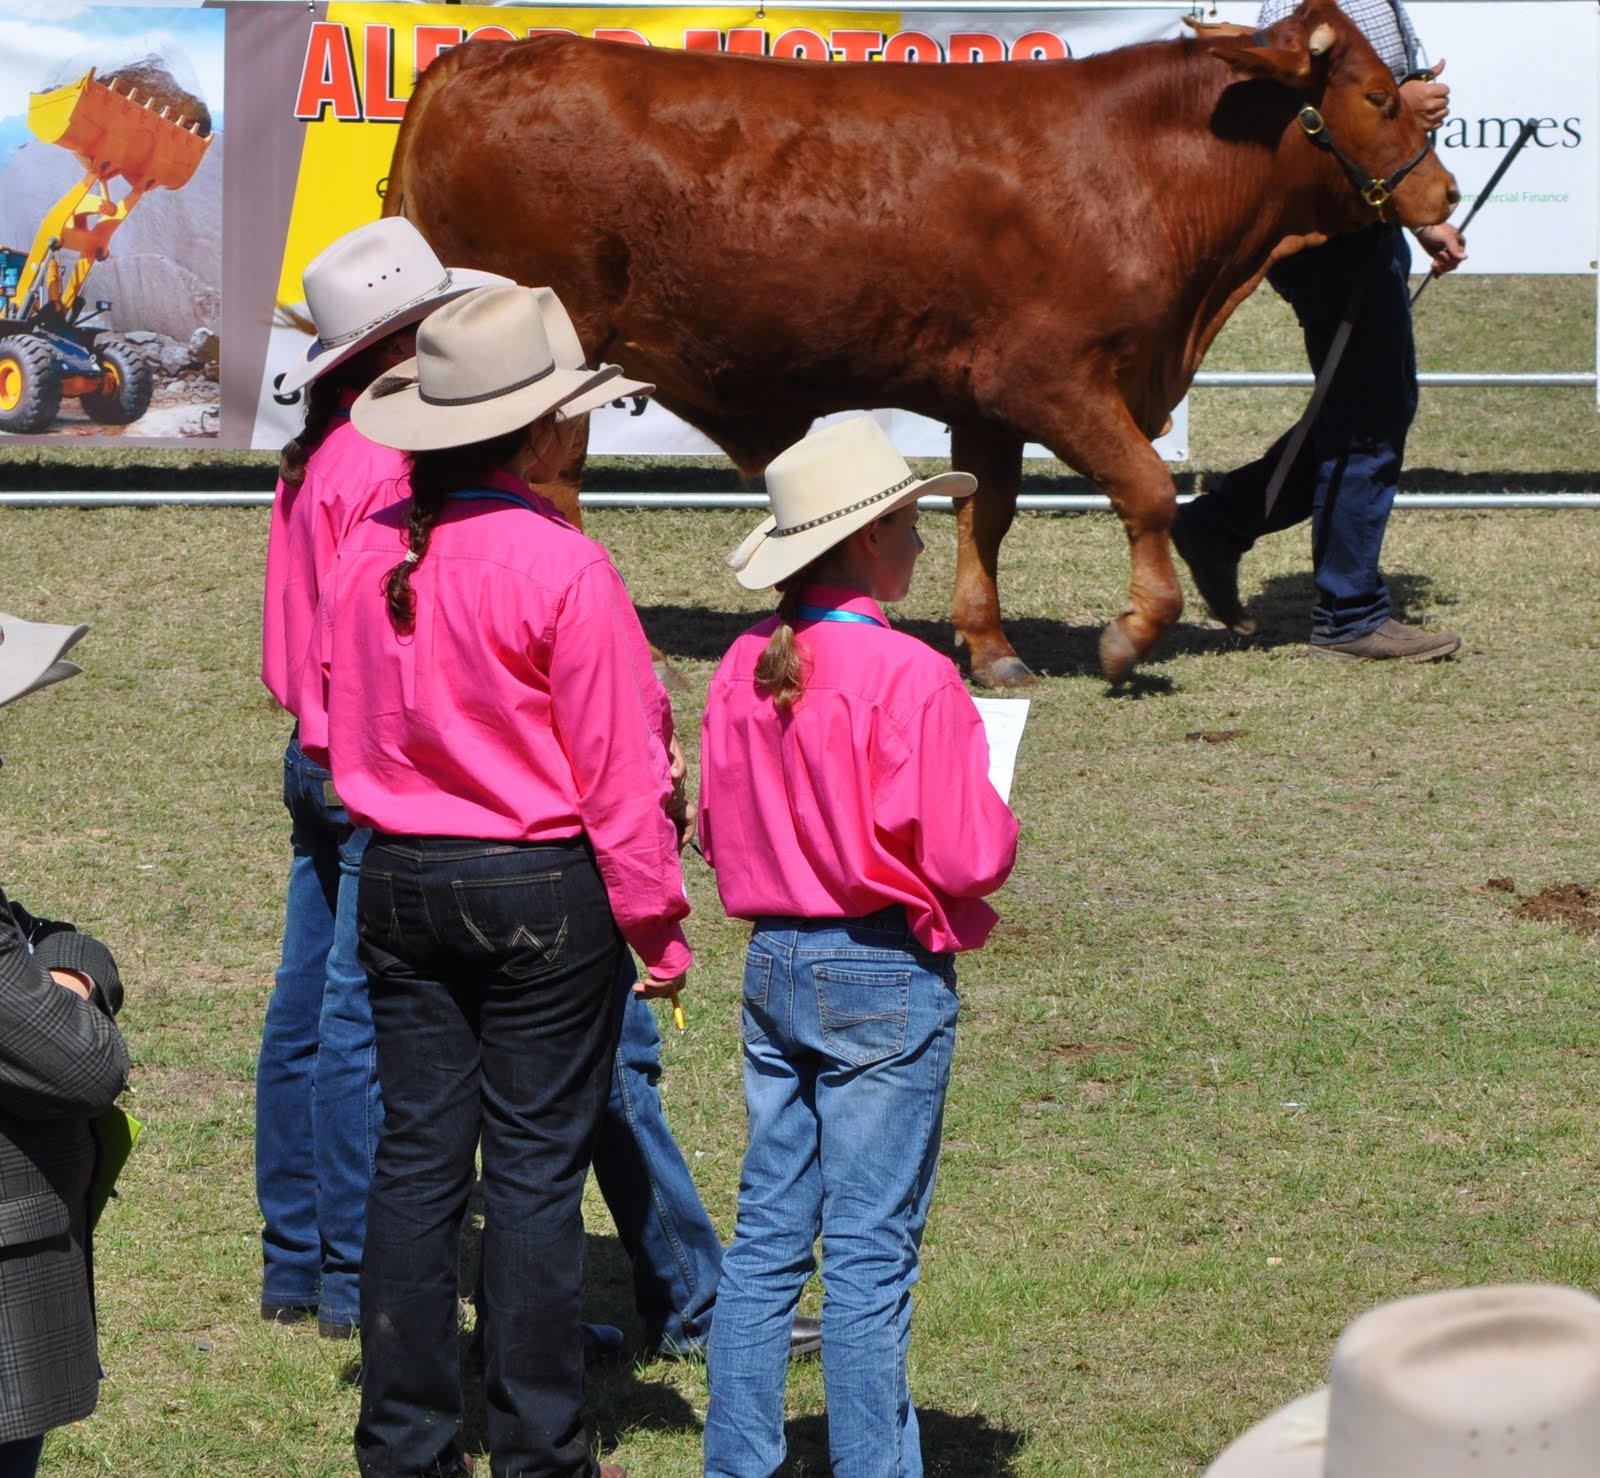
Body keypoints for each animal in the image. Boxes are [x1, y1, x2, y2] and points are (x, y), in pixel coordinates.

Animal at [382, 0, 1457, 686]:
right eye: (1376, 96)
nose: (1444, 194)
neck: (1135, 163)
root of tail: (483, 57)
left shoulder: (986, 398)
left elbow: (987, 515)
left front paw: (991, 647)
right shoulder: (1055, 381)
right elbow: (1149, 490)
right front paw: (1129, 636)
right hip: (558, 356)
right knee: (547, 484)